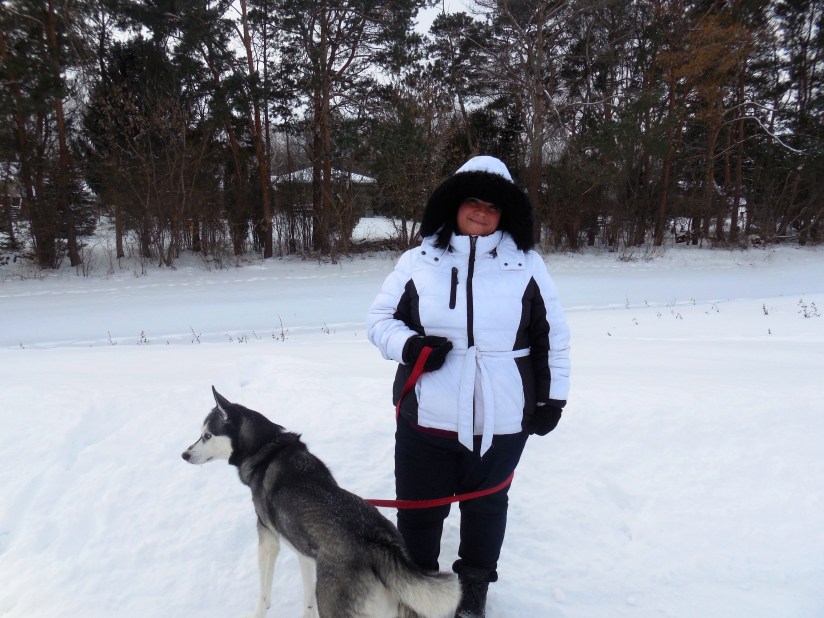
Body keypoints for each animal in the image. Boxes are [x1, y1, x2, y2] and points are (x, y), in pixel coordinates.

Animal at [182, 387, 461, 618]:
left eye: (206, 435)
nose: (184, 454)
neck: (266, 448)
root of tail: (379, 545)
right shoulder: (304, 553)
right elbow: (307, 600)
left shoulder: (268, 539)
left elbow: (263, 595)